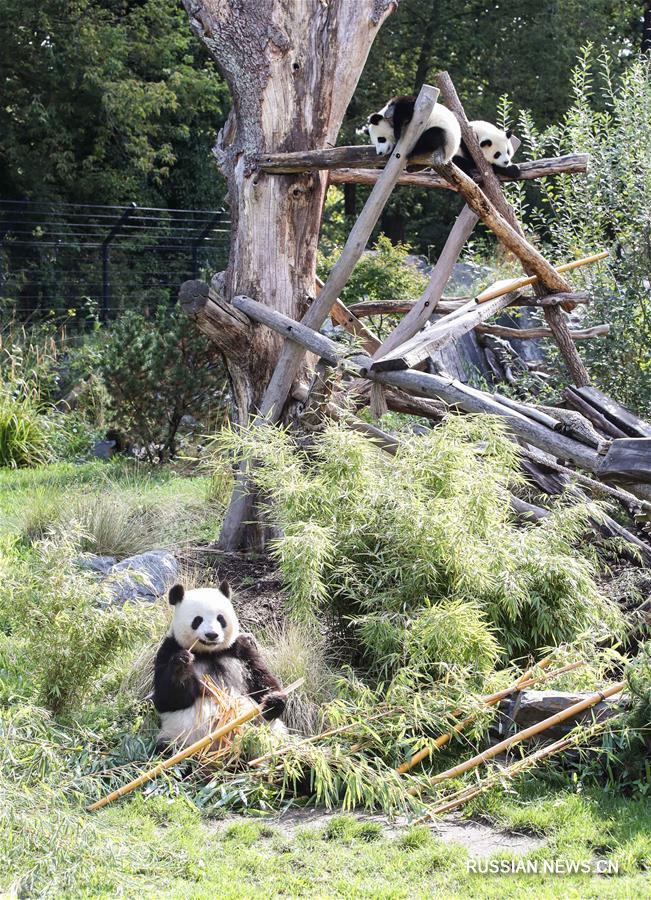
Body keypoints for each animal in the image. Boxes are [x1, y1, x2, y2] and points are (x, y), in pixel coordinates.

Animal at [154, 580, 286, 748]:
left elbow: (260, 678)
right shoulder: (168, 648)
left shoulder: (240, 649)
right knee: (165, 746)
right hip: (177, 737)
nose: (212, 635)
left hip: (271, 733)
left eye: (220, 619)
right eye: (197, 620)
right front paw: (182, 664)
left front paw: (274, 700)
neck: (209, 652)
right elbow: (165, 699)